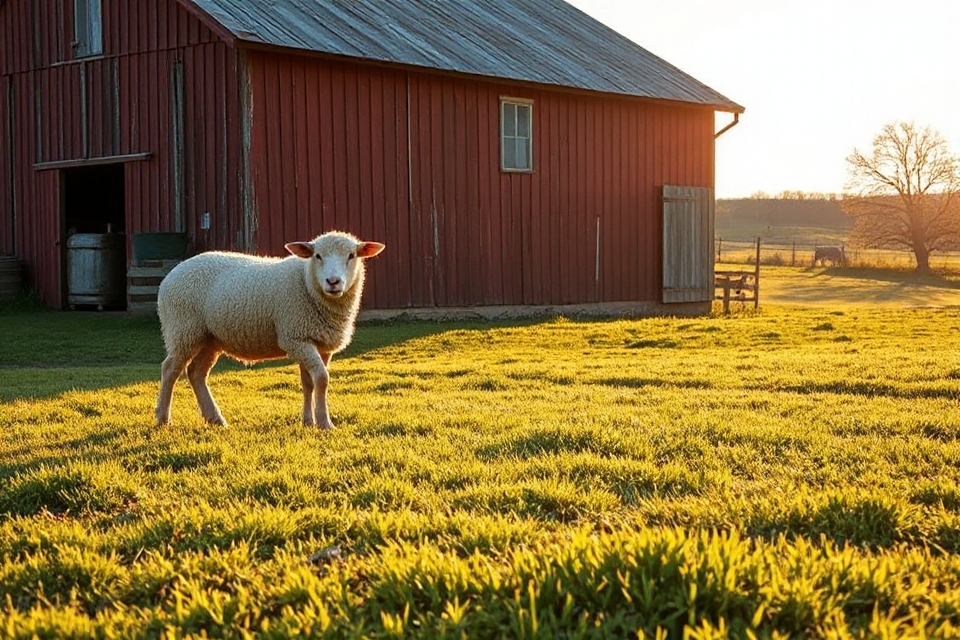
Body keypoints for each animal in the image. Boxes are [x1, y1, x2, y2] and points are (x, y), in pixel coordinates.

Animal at [154, 230, 384, 429]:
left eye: (351, 256)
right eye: (317, 256)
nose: (333, 282)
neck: (306, 282)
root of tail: (170, 275)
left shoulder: (318, 343)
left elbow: (309, 383)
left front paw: (308, 422)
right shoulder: (295, 338)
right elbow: (321, 379)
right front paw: (324, 423)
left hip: (209, 338)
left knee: (196, 373)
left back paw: (215, 419)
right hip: (183, 330)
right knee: (170, 370)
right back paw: (163, 418)